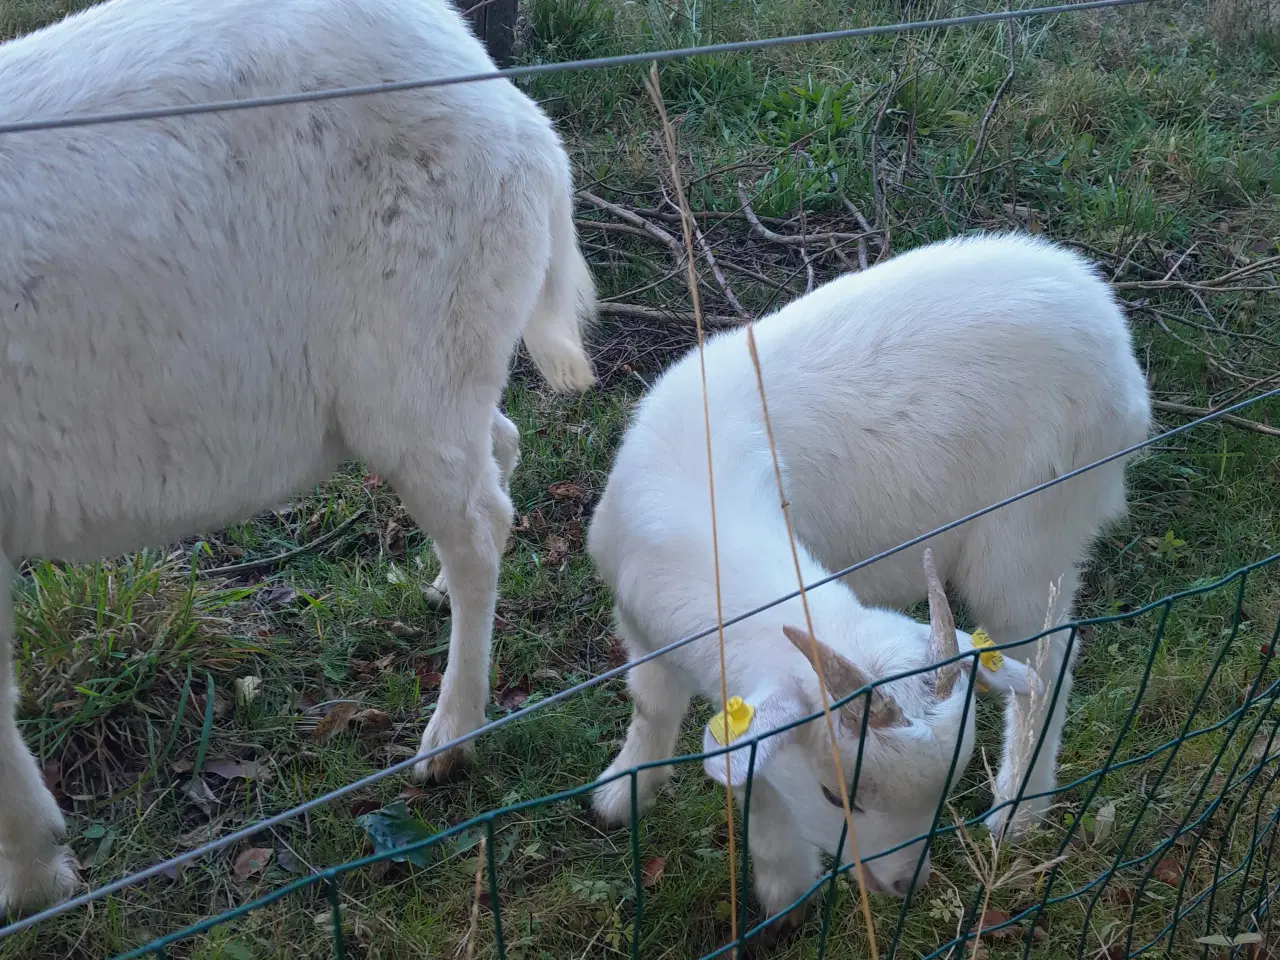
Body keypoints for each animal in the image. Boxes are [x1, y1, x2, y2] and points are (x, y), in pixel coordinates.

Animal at [0, 0, 596, 911]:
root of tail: (516, 111)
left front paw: (35, 878)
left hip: (414, 364)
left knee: (481, 523)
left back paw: (450, 736)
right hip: (452, 363)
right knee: (500, 449)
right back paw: (438, 592)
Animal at [588, 231, 1152, 931]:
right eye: (836, 796)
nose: (908, 884)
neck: (706, 505)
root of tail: (1111, 329)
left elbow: (755, 780)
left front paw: (781, 887)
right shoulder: (640, 625)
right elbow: (653, 706)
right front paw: (624, 791)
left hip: (1030, 535)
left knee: (1051, 658)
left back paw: (1017, 808)